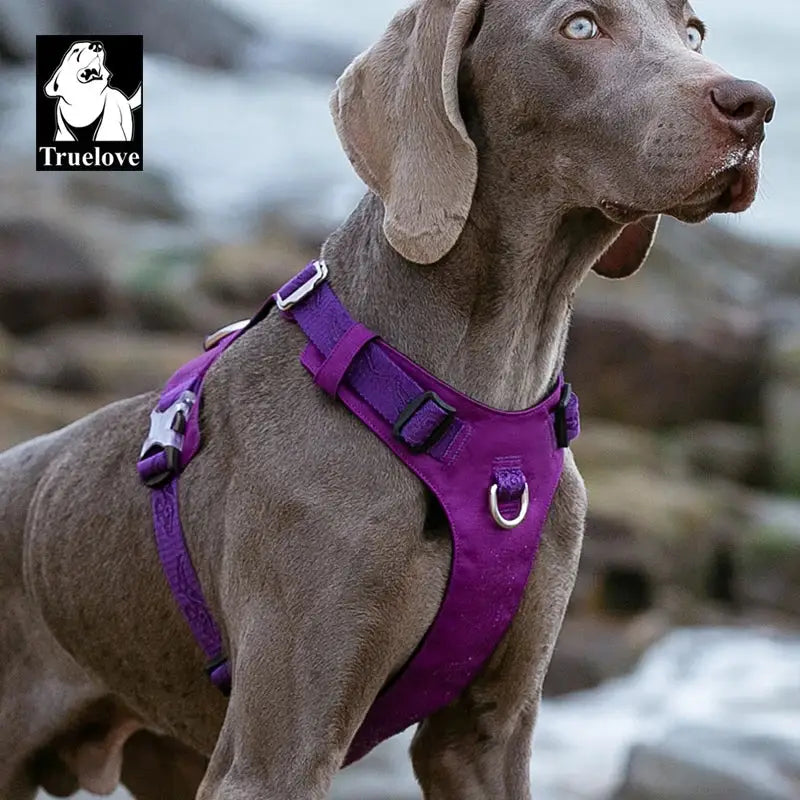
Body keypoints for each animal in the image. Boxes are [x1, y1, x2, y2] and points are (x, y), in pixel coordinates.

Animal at [0, 1, 776, 800]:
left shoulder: (485, 735)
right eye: (581, 26)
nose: (755, 104)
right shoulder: (276, 755)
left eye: (694, 32)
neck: (477, 415)